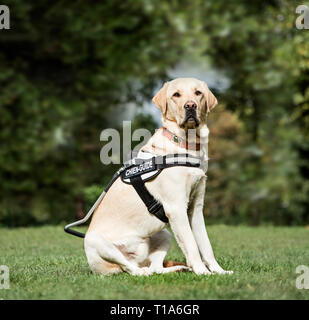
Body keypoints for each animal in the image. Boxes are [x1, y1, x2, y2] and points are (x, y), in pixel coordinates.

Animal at [83, 77, 232, 276]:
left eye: (198, 93)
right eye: (176, 94)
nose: (190, 105)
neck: (187, 144)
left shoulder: (196, 208)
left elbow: (206, 245)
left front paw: (219, 271)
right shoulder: (176, 208)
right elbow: (192, 245)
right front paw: (202, 272)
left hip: (163, 234)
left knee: (156, 268)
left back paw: (176, 268)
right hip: (95, 241)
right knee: (129, 268)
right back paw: (142, 272)